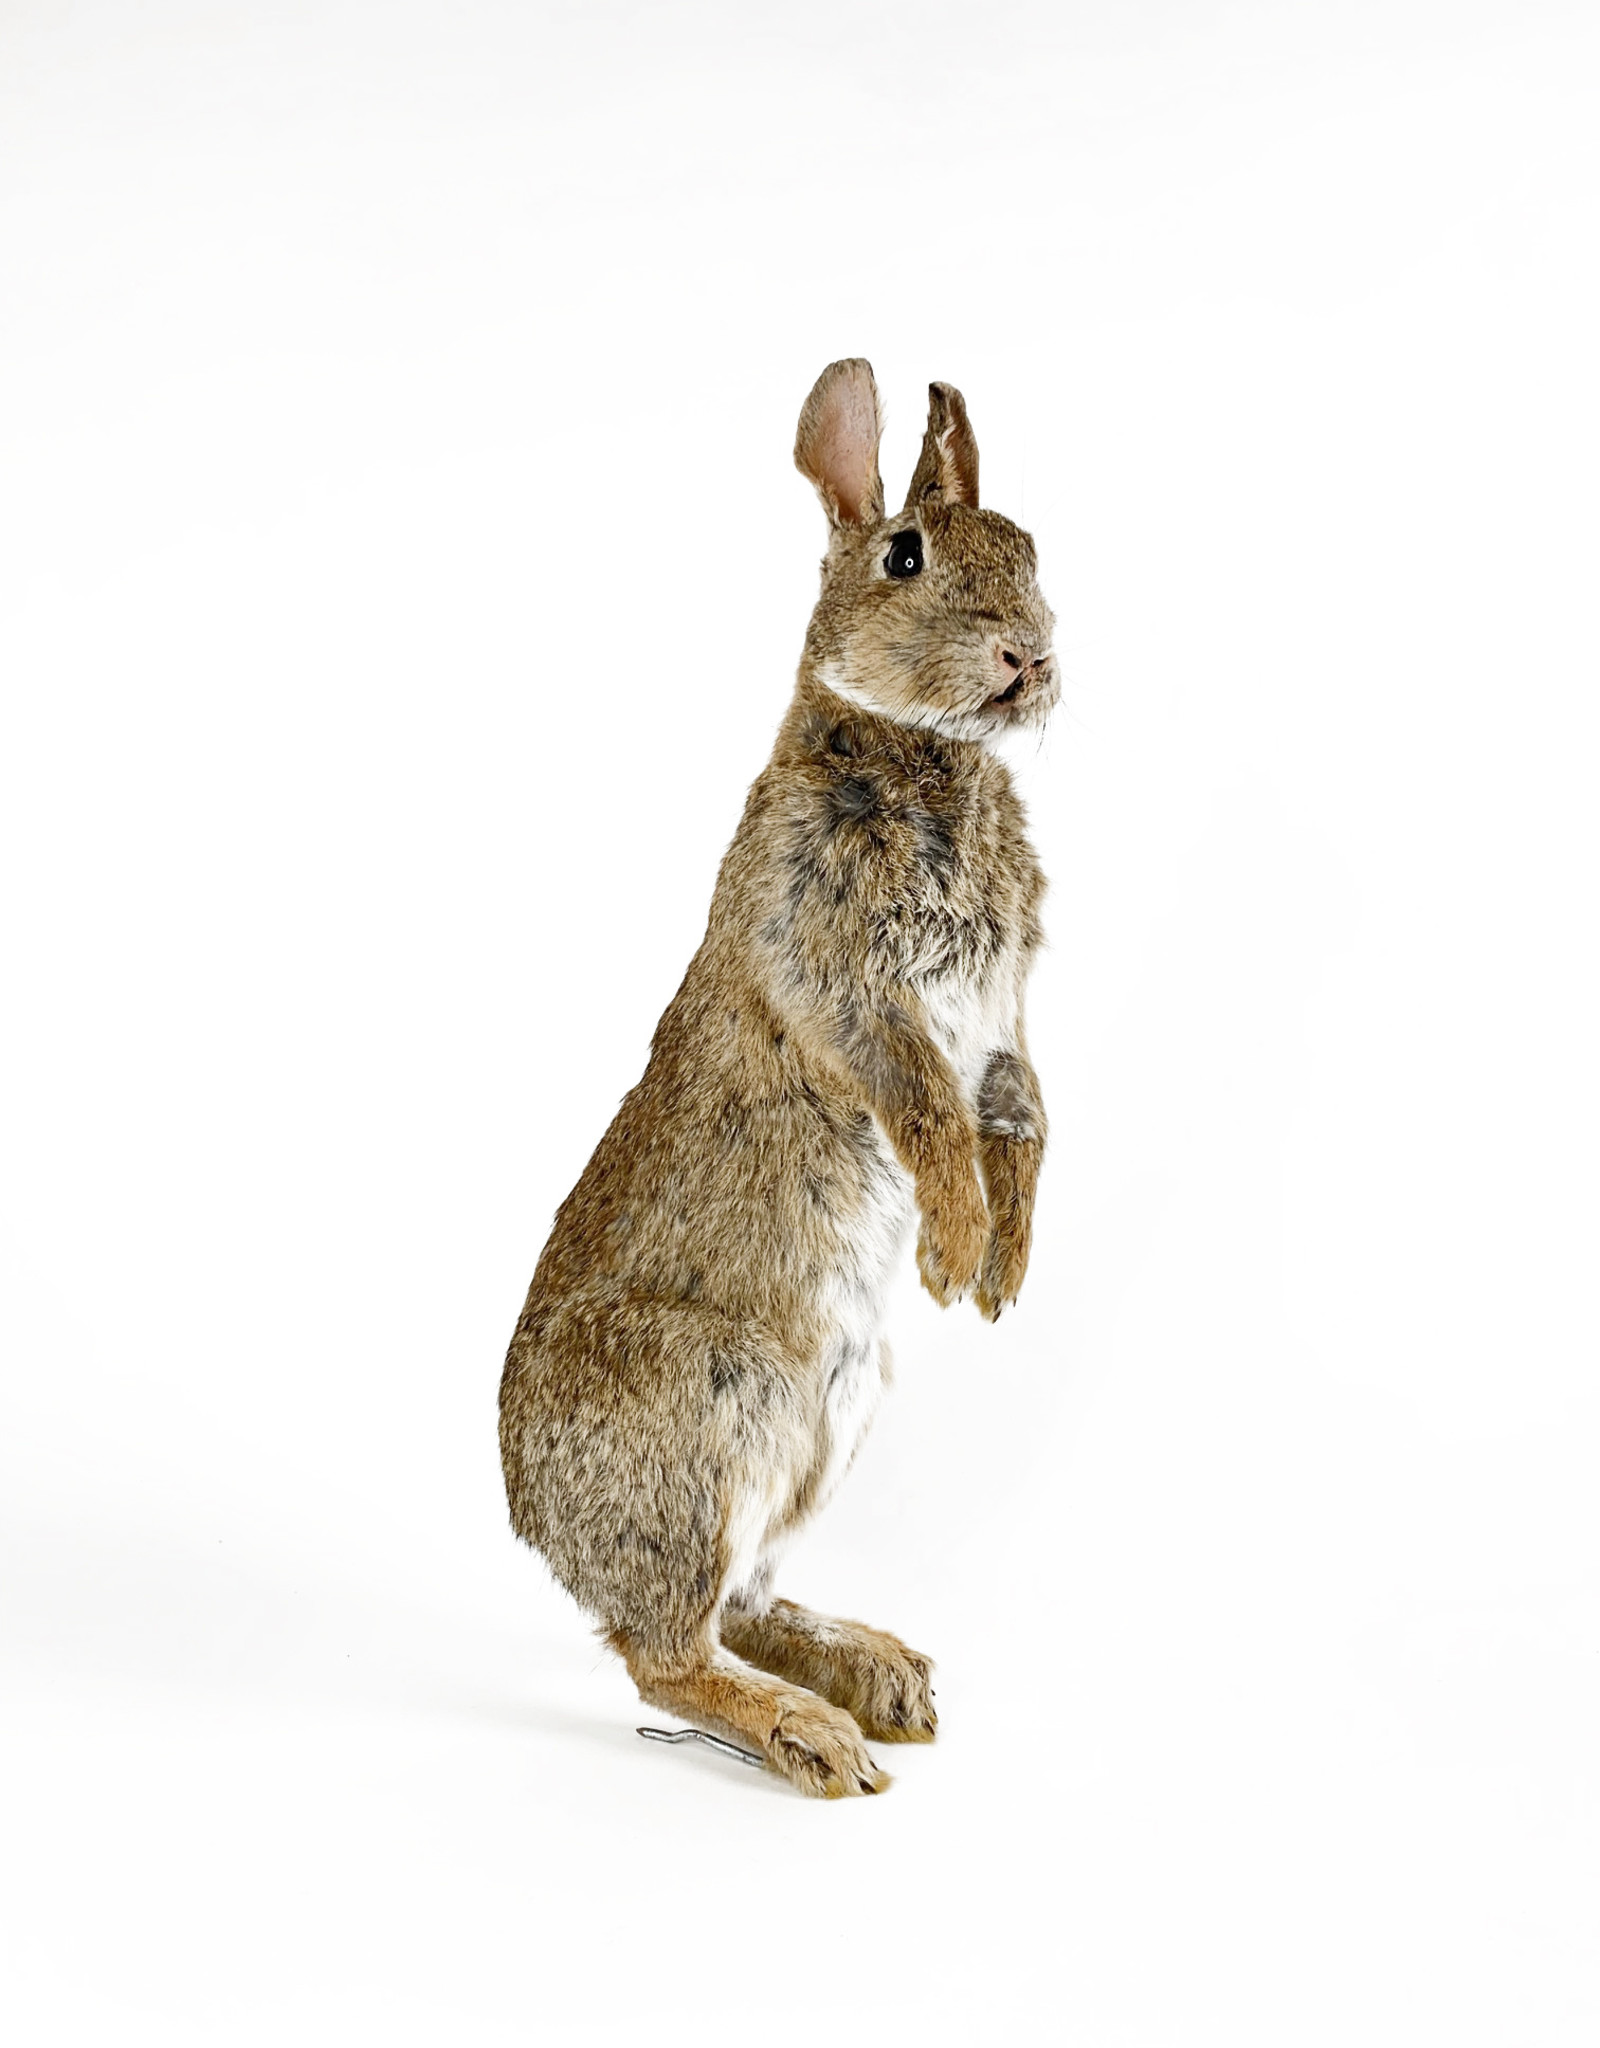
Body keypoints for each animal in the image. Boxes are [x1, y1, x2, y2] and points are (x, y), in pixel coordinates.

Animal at [499, 360, 1057, 1797]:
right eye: (904, 555)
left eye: (1030, 548)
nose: (1028, 656)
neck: (925, 756)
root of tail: (534, 1523)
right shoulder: (849, 994)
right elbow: (928, 1111)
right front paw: (955, 1252)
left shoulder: (1005, 1020)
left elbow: (1024, 1114)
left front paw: (1002, 1277)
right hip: (717, 1413)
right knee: (666, 1654)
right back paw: (813, 1736)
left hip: (824, 1425)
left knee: (737, 1606)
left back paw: (879, 1679)